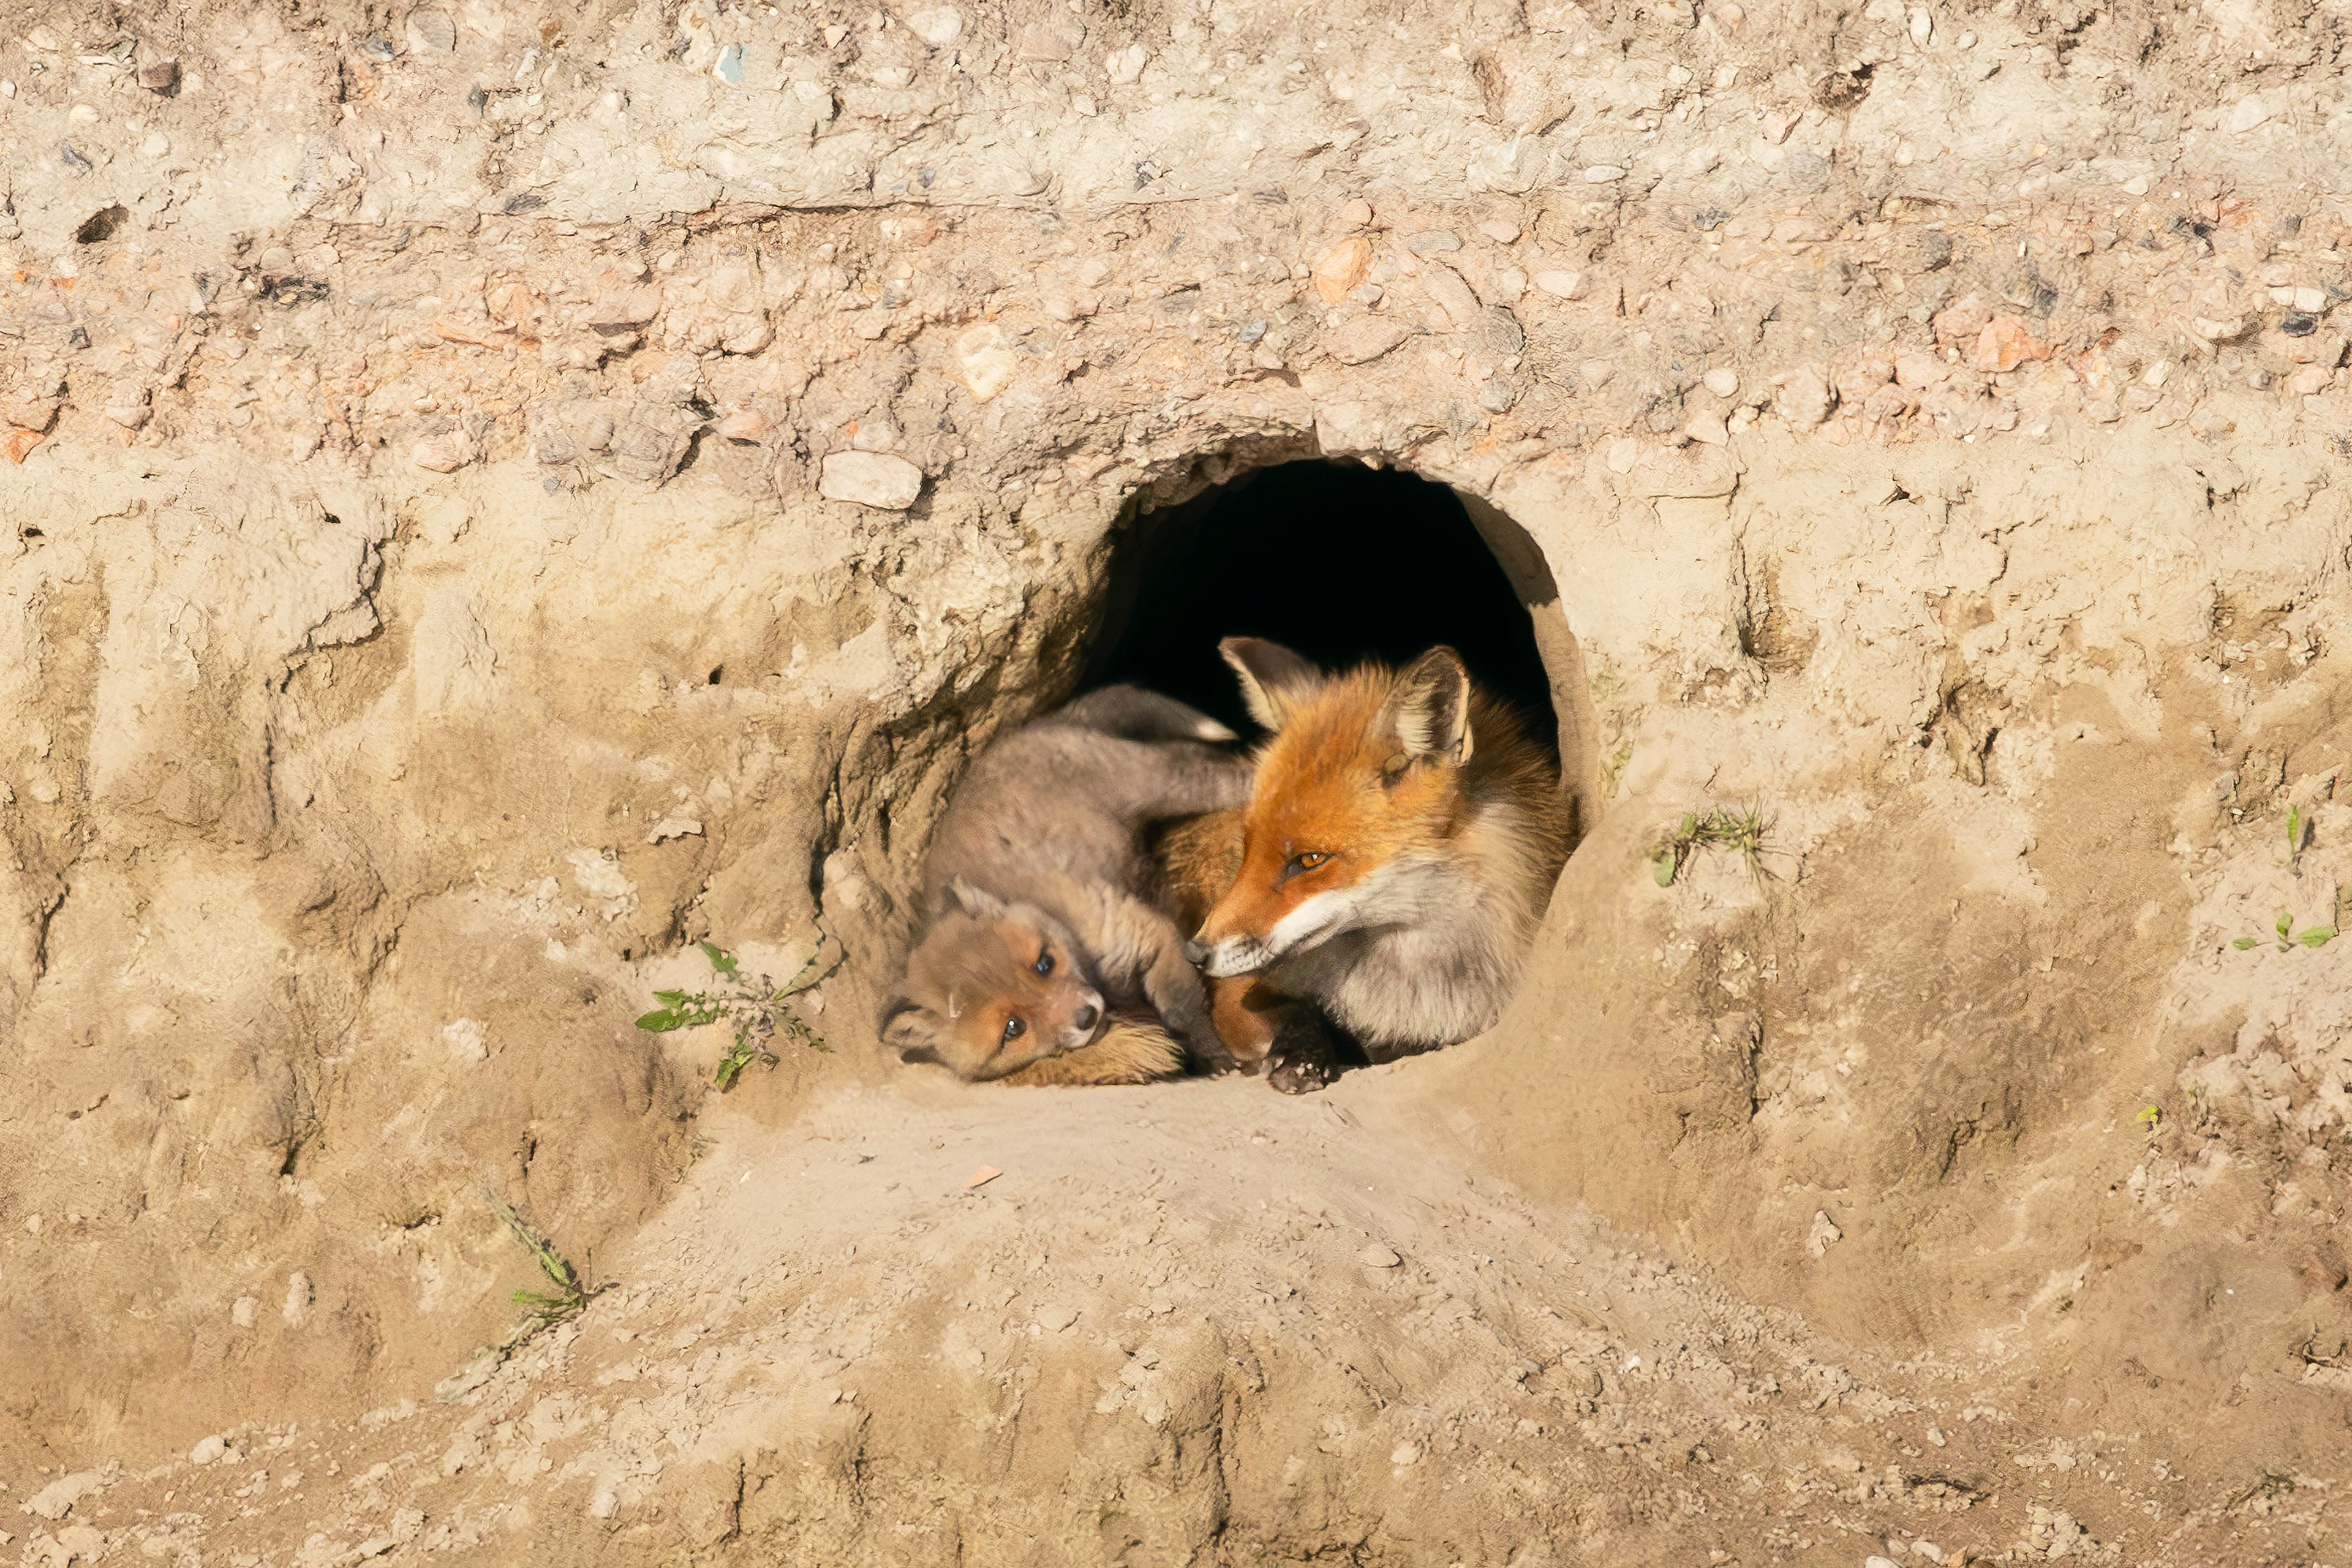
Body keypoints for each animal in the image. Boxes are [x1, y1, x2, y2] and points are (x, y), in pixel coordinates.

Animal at [879, 685, 1252, 1084]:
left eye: (1045, 964)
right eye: (1013, 1028)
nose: (1086, 1017)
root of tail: (1043, 723)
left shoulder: (1145, 933)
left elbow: (1183, 1010)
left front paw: (1212, 1053)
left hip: (1170, 785)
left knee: (1230, 773)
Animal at [1181, 637, 1571, 1091]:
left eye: (1311, 860)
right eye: (1248, 850)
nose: (1194, 953)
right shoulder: (1236, 996)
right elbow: (1299, 1013)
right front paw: (1305, 1053)